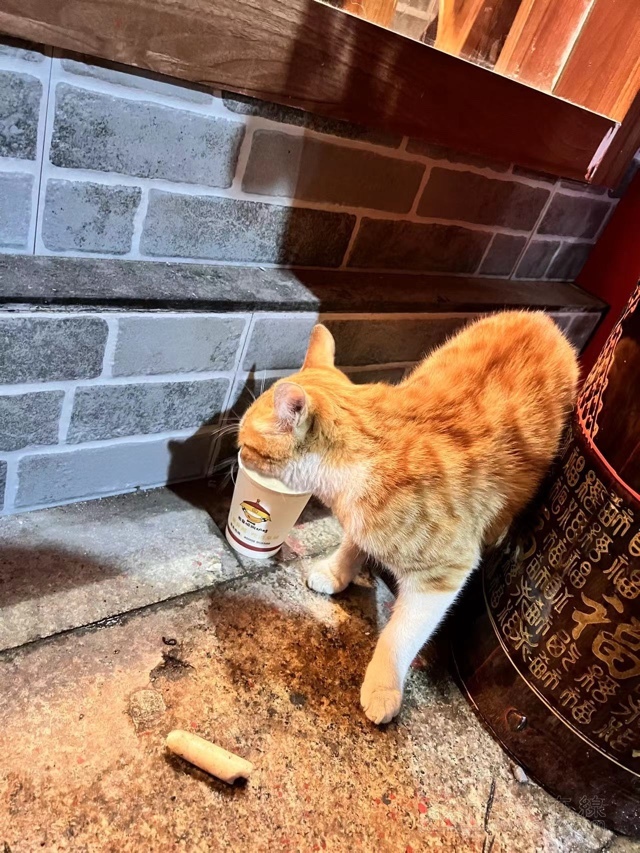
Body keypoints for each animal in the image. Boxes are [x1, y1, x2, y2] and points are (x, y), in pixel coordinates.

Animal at [237, 311, 579, 724]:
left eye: (244, 441)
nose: (236, 455)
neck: (364, 462)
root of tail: (542, 318)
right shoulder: (365, 522)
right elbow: (354, 541)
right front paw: (338, 571)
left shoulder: (445, 575)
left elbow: (400, 635)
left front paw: (384, 687)